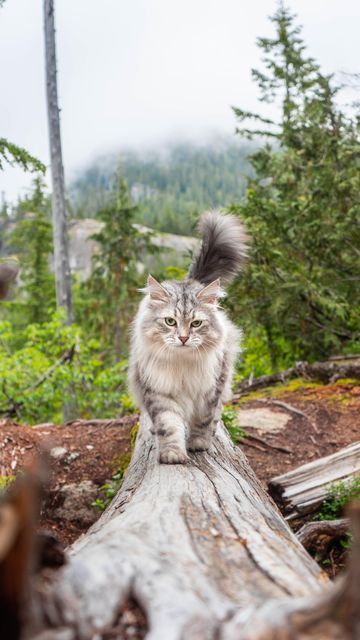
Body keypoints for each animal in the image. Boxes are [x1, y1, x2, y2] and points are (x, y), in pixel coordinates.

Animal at [128, 212, 249, 462]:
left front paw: (199, 444)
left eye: (196, 323)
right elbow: (169, 425)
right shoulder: (159, 390)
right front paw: (173, 454)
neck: (182, 365)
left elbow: (203, 421)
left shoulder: (210, 390)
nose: (183, 338)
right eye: (170, 322)